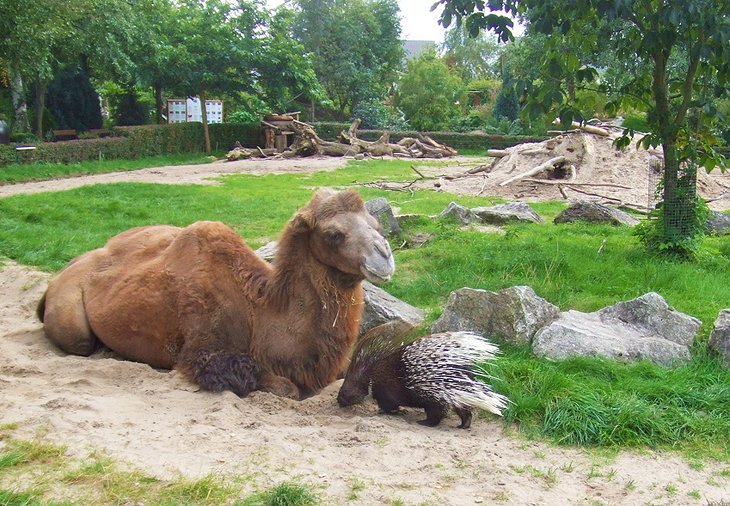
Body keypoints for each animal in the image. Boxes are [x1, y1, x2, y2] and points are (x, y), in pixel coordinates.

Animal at [37, 190, 396, 400]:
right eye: (334, 234)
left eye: (376, 224)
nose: (384, 256)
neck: (261, 310)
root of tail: (57, 278)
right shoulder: (204, 350)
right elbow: (284, 387)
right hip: (71, 318)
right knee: (79, 341)